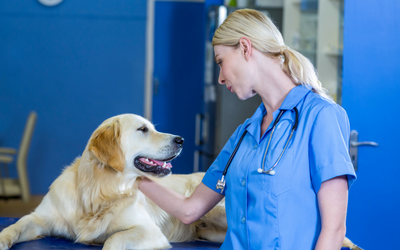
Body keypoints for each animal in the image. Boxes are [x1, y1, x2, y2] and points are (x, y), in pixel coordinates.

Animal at [0, 114, 360, 250]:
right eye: (142, 129)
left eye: (152, 125)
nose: (182, 139)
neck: (98, 192)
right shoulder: (41, 219)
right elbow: (15, 225)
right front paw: (3, 239)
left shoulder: (148, 231)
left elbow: (113, 240)